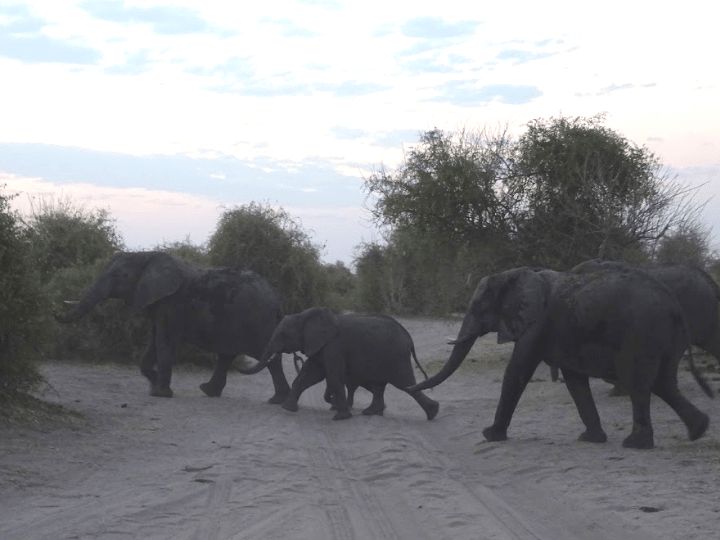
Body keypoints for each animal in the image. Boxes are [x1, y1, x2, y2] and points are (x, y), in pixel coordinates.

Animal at [56, 251, 290, 402]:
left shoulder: (171, 303)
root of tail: (277, 300)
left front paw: (161, 393)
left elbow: (164, 341)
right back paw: (209, 391)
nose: (55, 309)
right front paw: (153, 384)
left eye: (119, 276)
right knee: (227, 355)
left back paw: (277, 401)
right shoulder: (158, 304)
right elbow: (154, 340)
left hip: (257, 322)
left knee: (266, 356)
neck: (147, 256)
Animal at [242, 307, 439, 421]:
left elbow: (333, 376)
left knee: (406, 384)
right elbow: (309, 374)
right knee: (381, 386)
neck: (305, 316)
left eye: (283, 334)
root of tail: (408, 337)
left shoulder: (334, 346)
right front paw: (288, 409)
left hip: (396, 357)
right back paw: (371, 413)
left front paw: (340, 417)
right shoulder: (320, 345)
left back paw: (433, 412)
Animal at [408, 266, 712, 449]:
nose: (412, 385)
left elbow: (518, 370)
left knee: (638, 382)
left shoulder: (536, 323)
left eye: (478, 307)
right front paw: (591, 439)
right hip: (663, 336)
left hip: (642, 331)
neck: (515, 274)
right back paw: (698, 430)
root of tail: (674, 305)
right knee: (663, 383)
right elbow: (574, 380)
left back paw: (635, 444)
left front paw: (489, 436)